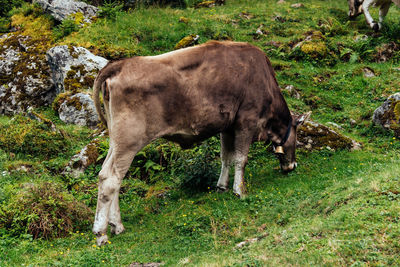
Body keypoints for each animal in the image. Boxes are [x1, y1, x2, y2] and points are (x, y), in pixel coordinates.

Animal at [93, 40, 310, 246]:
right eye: (298, 139)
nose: (292, 166)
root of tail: (120, 65)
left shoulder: (227, 127)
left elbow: (226, 158)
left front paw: (222, 186)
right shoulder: (246, 122)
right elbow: (241, 159)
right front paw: (240, 191)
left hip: (116, 142)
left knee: (108, 175)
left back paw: (117, 225)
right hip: (129, 141)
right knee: (111, 179)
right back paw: (101, 233)